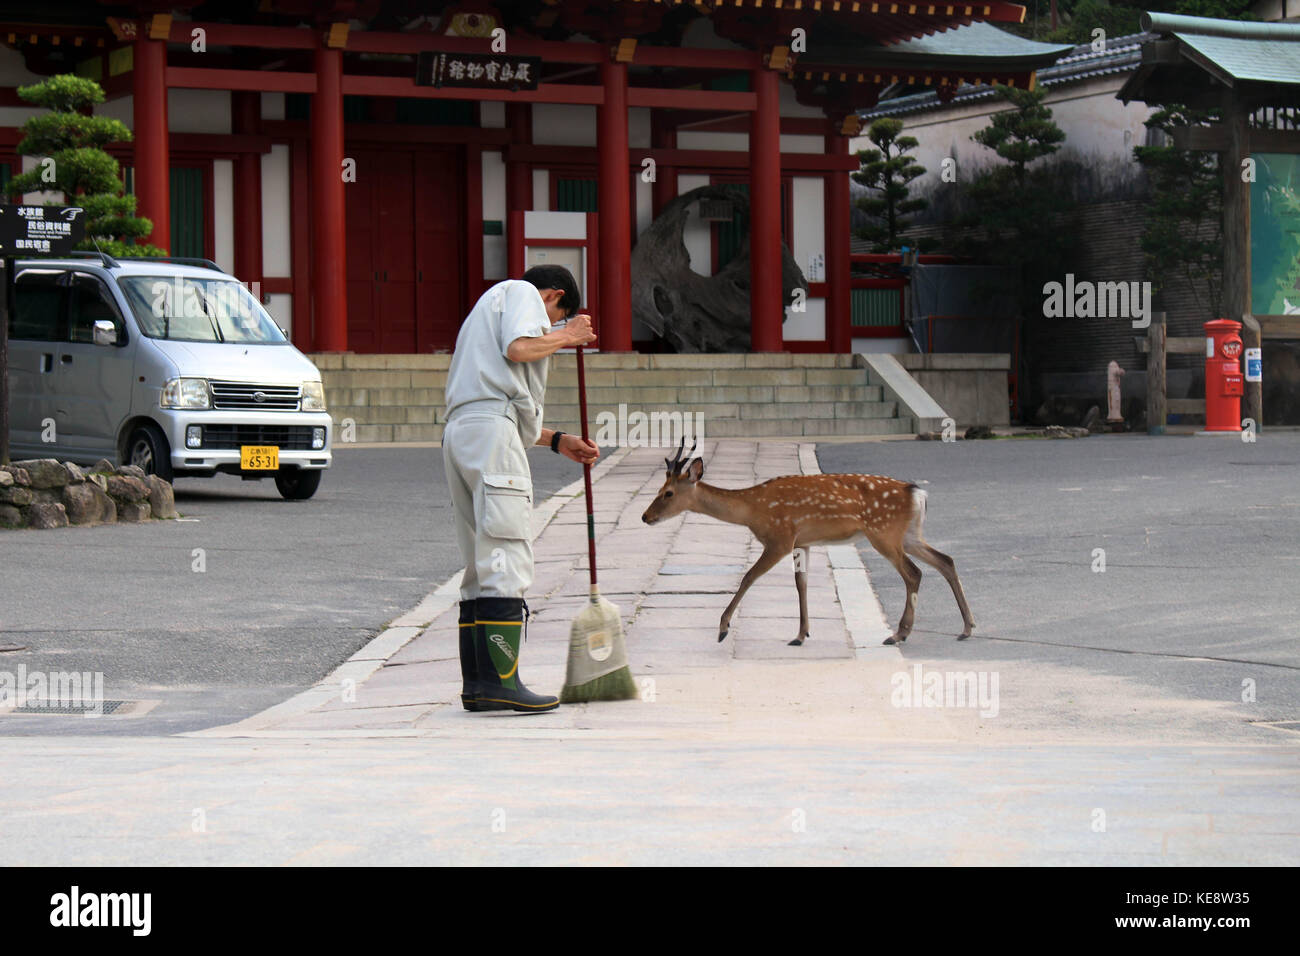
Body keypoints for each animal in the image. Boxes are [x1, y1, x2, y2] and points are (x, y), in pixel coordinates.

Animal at [641, 440, 975, 647]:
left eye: (668, 493)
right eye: (658, 489)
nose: (645, 516)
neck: (753, 509)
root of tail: (917, 493)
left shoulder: (780, 537)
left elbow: (749, 576)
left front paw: (722, 628)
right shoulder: (804, 542)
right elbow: (801, 584)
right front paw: (801, 634)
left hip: (883, 532)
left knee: (914, 573)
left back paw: (899, 634)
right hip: (909, 534)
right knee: (946, 560)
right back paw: (966, 628)